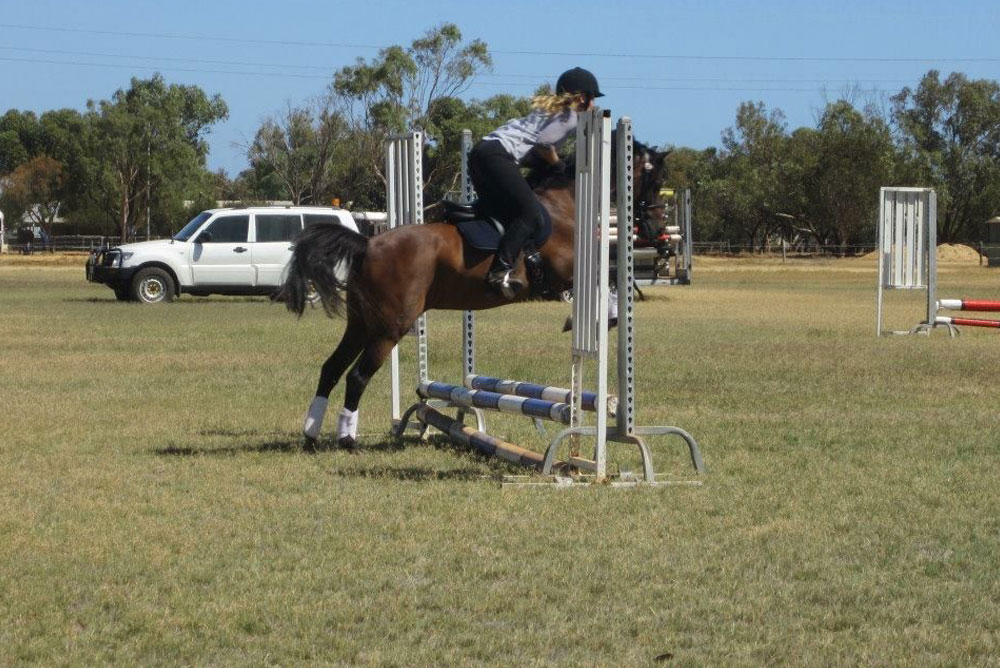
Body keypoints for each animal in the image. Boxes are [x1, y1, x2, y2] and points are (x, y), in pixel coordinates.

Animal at [278, 139, 670, 448]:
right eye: (654, 182)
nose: (655, 228)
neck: (566, 204)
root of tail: (367, 243)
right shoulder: (565, 272)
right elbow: (614, 273)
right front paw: (607, 316)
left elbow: (615, 273)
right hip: (391, 326)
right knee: (357, 376)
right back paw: (346, 439)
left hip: (361, 323)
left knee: (331, 368)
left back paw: (311, 434)